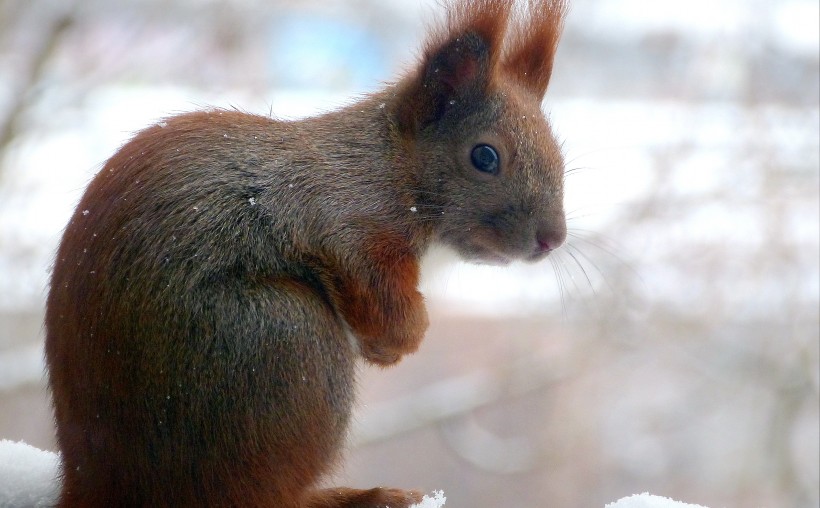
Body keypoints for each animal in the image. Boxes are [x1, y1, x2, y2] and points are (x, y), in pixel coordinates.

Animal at [44, 0, 572, 508]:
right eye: (485, 157)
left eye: (559, 155)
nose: (553, 238)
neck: (390, 164)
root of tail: (90, 481)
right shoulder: (342, 217)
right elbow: (371, 283)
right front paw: (402, 338)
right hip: (285, 341)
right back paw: (359, 498)